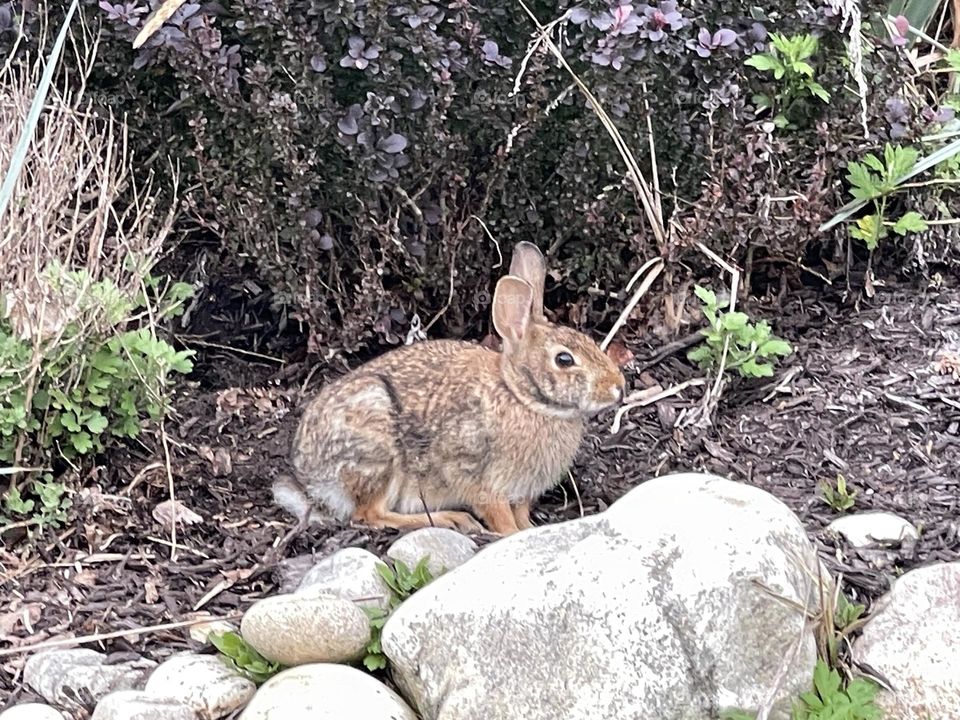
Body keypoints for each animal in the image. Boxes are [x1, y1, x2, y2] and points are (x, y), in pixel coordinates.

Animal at [276, 241, 626, 535]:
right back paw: (451, 519)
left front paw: (530, 529)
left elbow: (520, 512)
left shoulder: (520, 490)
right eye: (564, 359)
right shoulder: (478, 476)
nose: (618, 388)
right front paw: (511, 534)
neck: (521, 397)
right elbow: (497, 513)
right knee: (369, 514)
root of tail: (309, 477)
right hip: (378, 451)